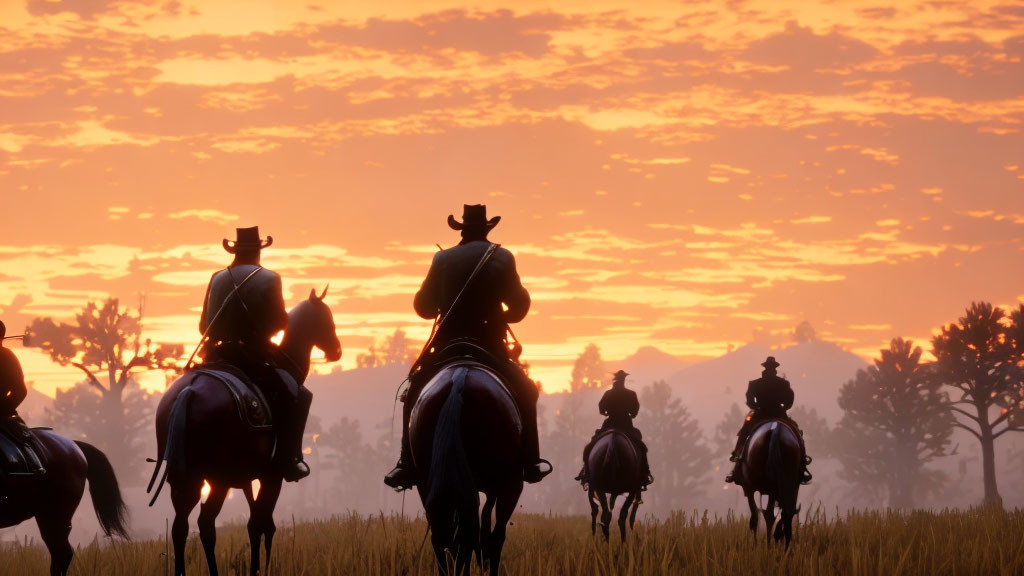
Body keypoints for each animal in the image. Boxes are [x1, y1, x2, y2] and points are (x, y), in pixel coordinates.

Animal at [147, 286, 339, 573]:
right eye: (326, 317)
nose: (337, 350)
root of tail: (189, 392)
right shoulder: (272, 476)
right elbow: (262, 524)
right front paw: (262, 568)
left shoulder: (248, 478)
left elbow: (256, 523)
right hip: (218, 479)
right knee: (206, 522)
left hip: (189, 478)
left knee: (182, 526)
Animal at [407, 360, 524, 569]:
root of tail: (458, 382)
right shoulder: (511, 486)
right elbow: (495, 537)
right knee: (475, 537)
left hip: (431, 485)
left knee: (446, 539)